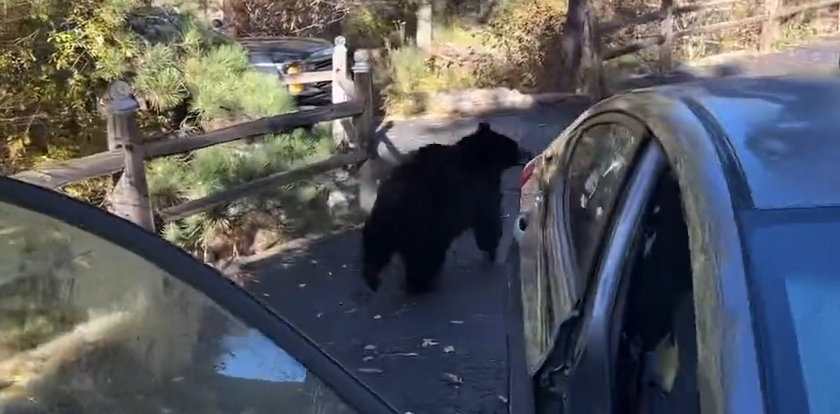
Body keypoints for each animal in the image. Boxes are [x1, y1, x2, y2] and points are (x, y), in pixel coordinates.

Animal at [360, 121, 532, 292]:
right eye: (514, 145)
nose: (528, 153)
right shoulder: (480, 191)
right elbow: (488, 220)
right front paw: (491, 250)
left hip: (383, 222)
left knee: (376, 247)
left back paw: (372, 277)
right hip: (425, 224)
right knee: (423, 256)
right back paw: (421, 282)